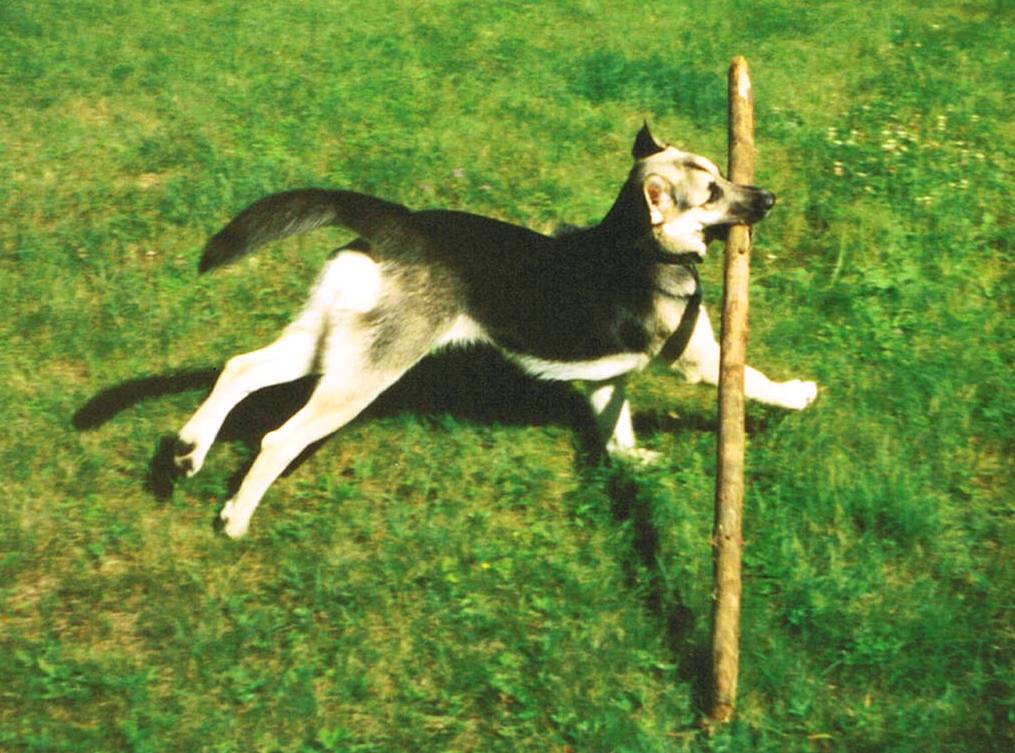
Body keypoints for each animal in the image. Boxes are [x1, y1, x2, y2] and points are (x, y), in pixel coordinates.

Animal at [176, 125, 816, 535]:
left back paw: (190, 447)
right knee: (277, 439)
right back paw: (237, 516)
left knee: (240, 369)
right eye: (712, 193)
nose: (770, 197)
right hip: (367, 373)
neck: (641, 242)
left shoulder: (606, 380)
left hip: (328, 344)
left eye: (721, 174)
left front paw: (634, 463)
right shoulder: (700, 362)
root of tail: (398, 226)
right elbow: (753, 379)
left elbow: (617, 434)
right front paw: (798, 395)